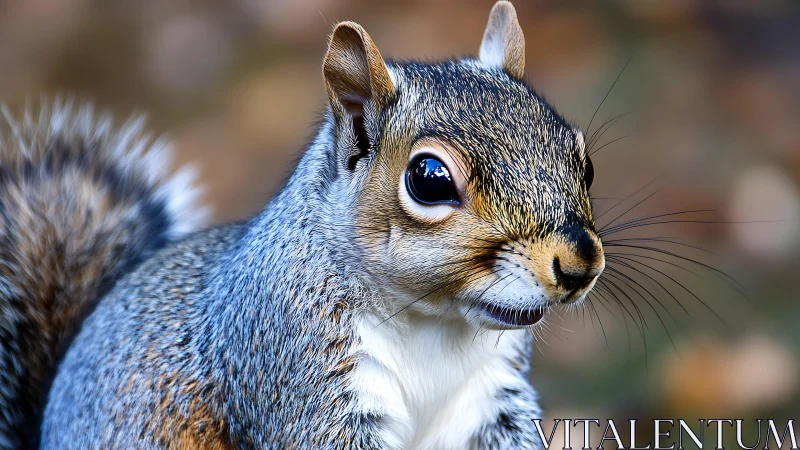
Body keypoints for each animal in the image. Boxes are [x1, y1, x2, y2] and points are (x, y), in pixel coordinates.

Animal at [0, 2, 605, 449]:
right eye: (429, 179)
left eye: (584, 162)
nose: (580, 263)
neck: (434, 325)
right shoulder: (293, 370)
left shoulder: (495, 400)